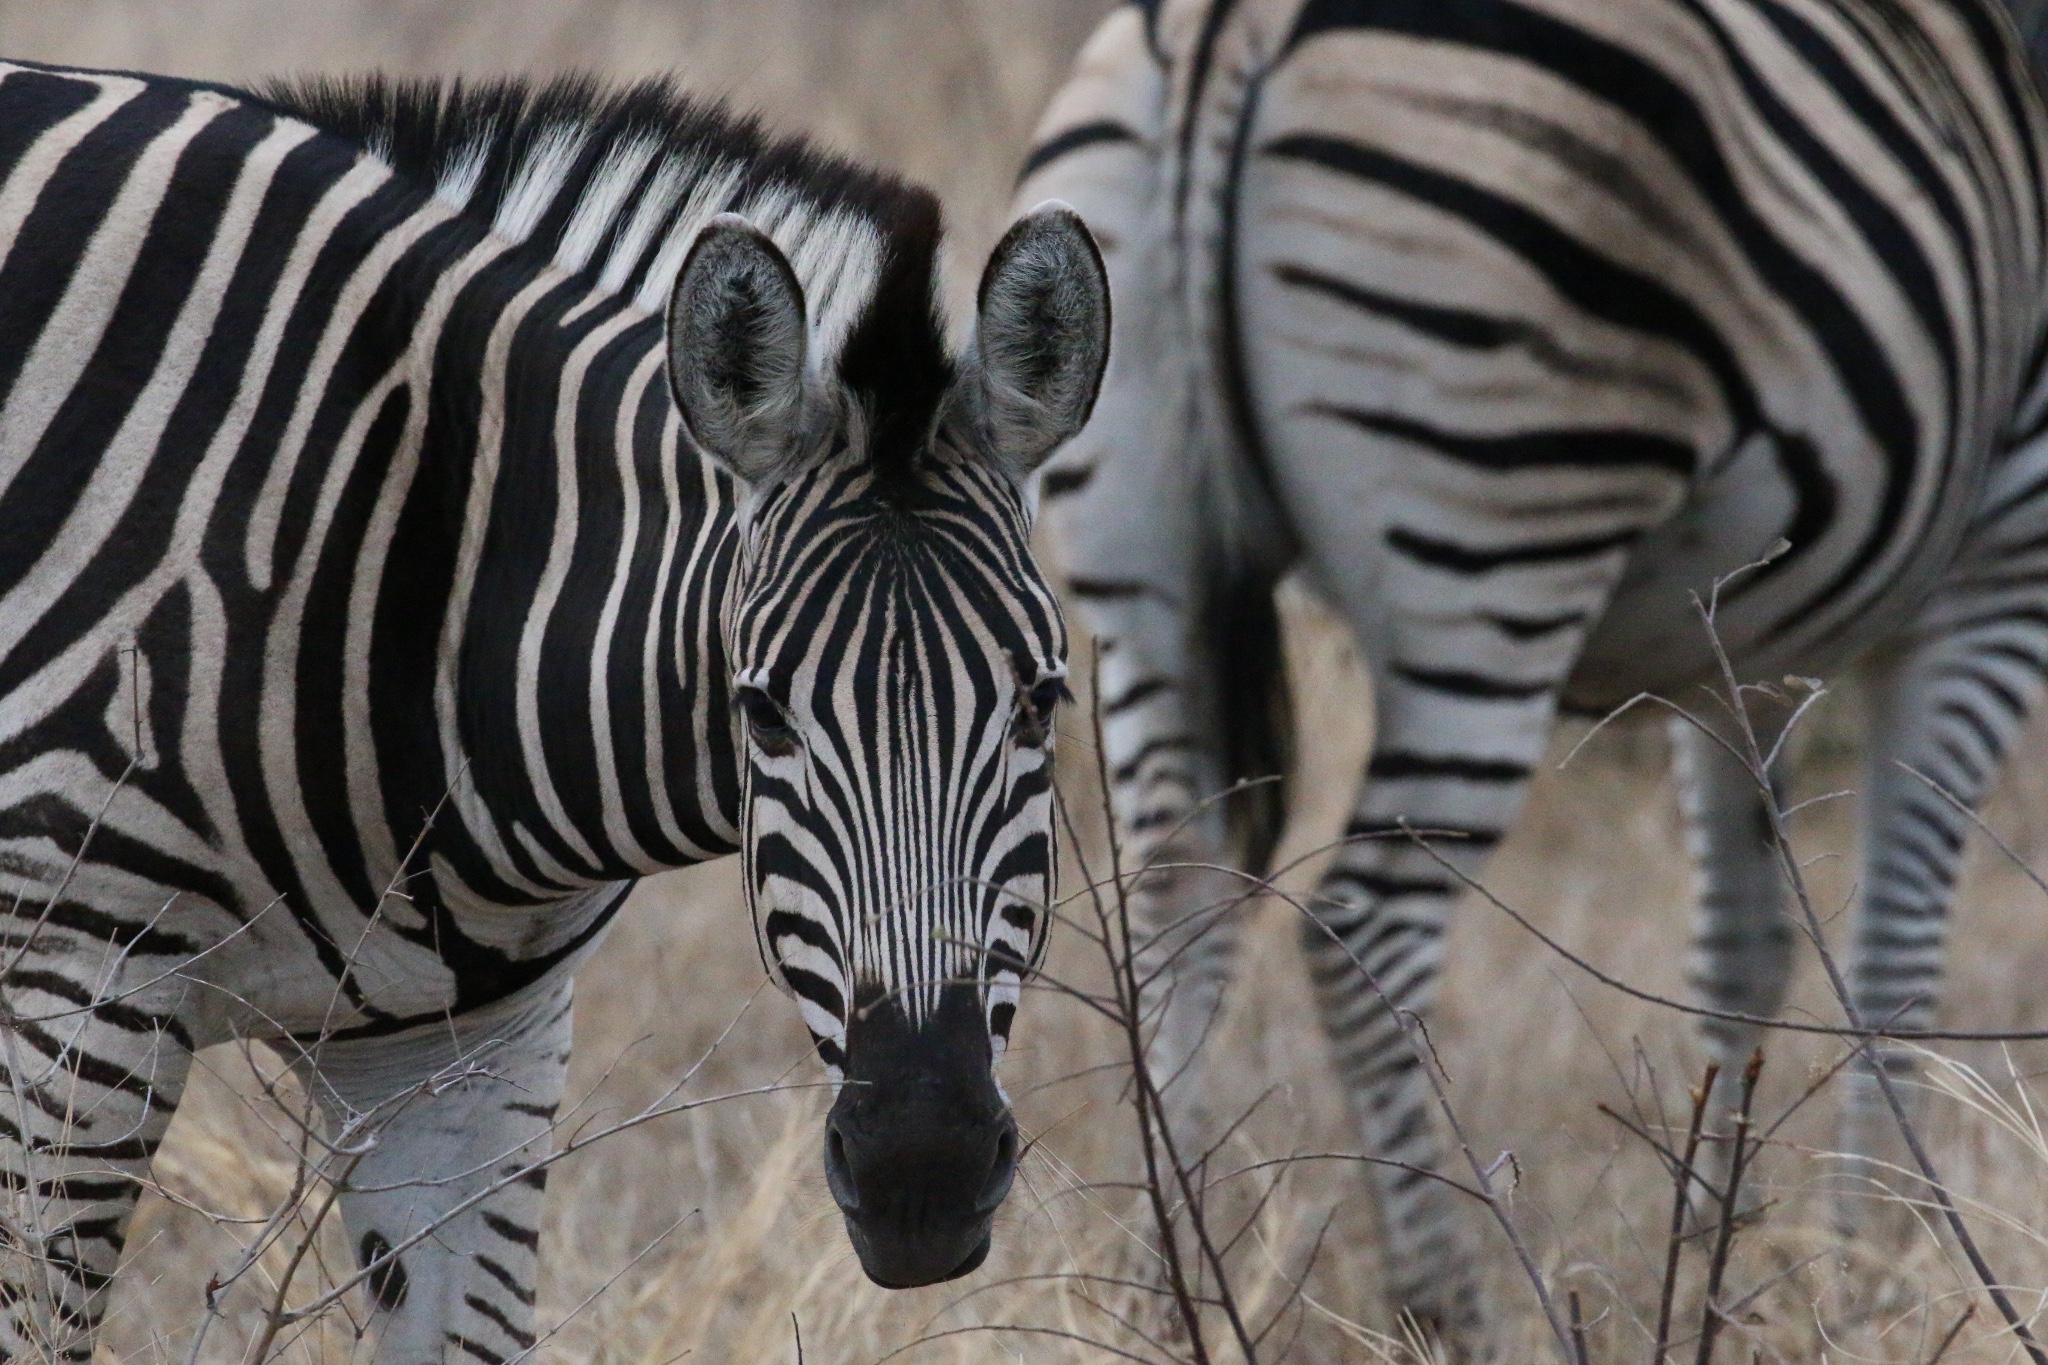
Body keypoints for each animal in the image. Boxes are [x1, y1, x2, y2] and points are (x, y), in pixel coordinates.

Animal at [1019, 0, 2048, 1342]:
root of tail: (1229, 31)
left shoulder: (1728, 648)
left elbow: (1744, 948)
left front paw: (1715, 1262)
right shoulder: (1999, 565)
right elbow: (1891, 959)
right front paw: (1872, 1264)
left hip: (1139, 546)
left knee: (1170, 910)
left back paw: (1166, 1298)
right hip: (1498, 525)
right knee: (1359, 930)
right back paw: (1447, 1314)